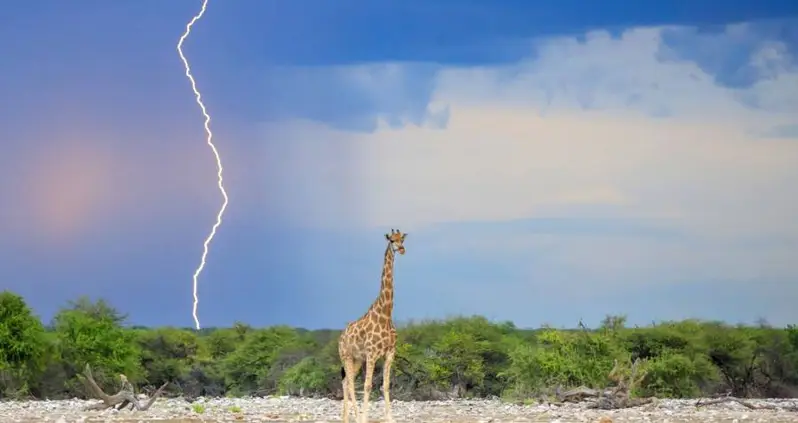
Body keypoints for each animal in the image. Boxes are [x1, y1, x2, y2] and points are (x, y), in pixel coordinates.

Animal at [338, 228, 407, 423]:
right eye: (391, 240)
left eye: (402, 239)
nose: (401, 249)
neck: (385, 314)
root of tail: (340, 337)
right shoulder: (372, 353)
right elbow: (368, 385)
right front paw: (364, 418)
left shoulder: (390, 353)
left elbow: (385, 386)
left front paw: (390, 418)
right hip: (346, 356)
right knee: (350, 383)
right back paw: (356, 417)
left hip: (357, 360)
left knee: (346, 382)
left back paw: (346, 419)